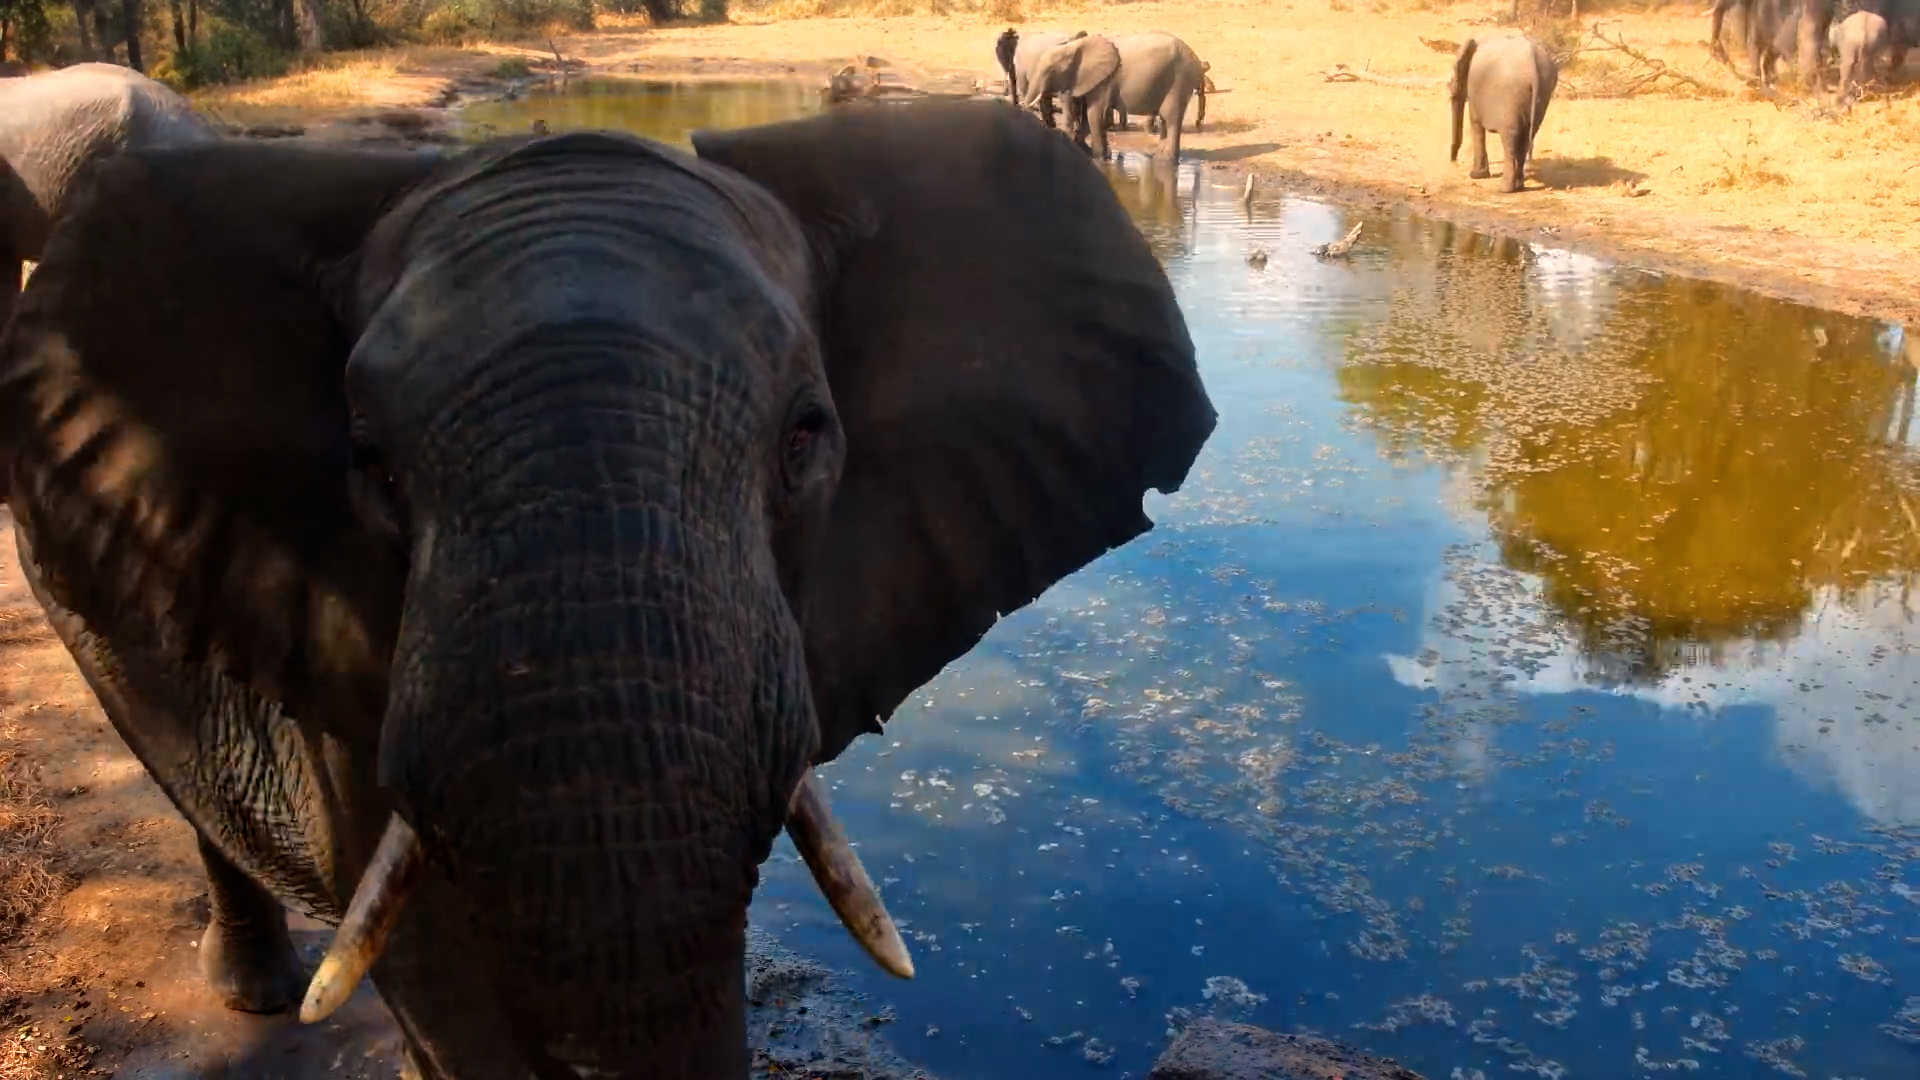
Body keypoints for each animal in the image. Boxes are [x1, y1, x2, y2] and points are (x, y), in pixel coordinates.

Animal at [1101, 32, 1207, 162]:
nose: (1199, 121)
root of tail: (1197, 60)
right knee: (1165, 116)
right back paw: (1158, 156)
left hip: (1179, 80)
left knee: (1171, 116)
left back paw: (1167, 159)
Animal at [1449, 33, 1558, 194]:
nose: (1454, 161)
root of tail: (1533, 63)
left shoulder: (1474, 89)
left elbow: (1476, 124)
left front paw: (1476, 176)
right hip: (1543, 93)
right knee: (1526, 138)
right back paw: (1519, 186)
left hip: (1510, 96)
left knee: (1510, 138)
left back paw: (1505, 189)